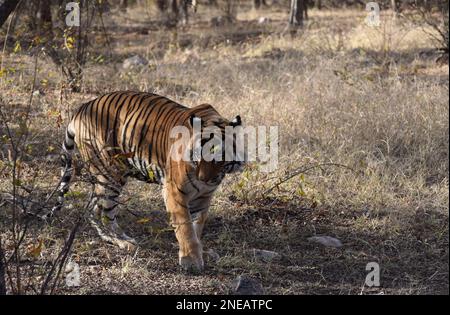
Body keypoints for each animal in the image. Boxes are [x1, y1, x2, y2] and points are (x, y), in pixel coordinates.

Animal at [51, 90, 244, 272]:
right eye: (199, 154)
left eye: (220, 157)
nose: (204, 179)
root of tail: (83, 107)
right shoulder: (174, 191)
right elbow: (186, 227)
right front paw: (191, 260)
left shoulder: (203, 197)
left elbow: (197, 226)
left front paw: (199, 253)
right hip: (109, 173)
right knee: (102, 212)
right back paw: (124, 243)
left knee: (95, 210)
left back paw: (117, 238)